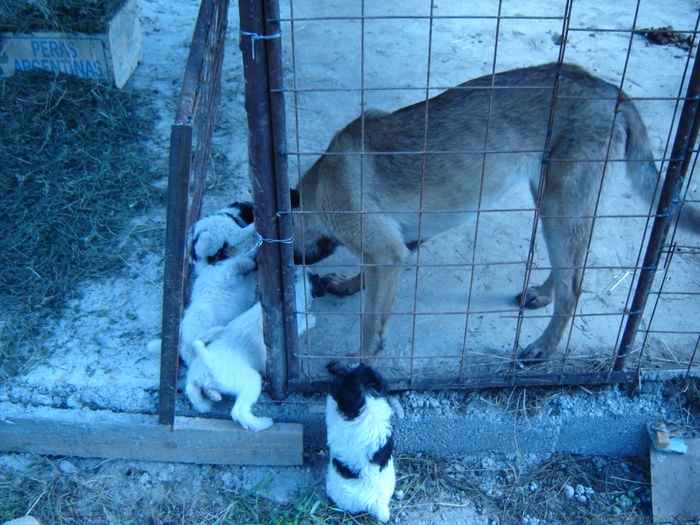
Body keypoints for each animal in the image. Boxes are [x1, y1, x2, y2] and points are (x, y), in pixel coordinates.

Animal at [288, 62, 696, 360]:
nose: (300, 268)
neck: (317, 185)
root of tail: (608, 89)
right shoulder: (402, 244)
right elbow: (370, 284)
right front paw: (348, 285)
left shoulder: (385, 252)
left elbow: (371, 321)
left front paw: (360, 362)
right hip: (555, 204)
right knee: (572, 267)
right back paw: (542, 294)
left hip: (559, 207)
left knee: (574, 289)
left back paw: (544, 347)